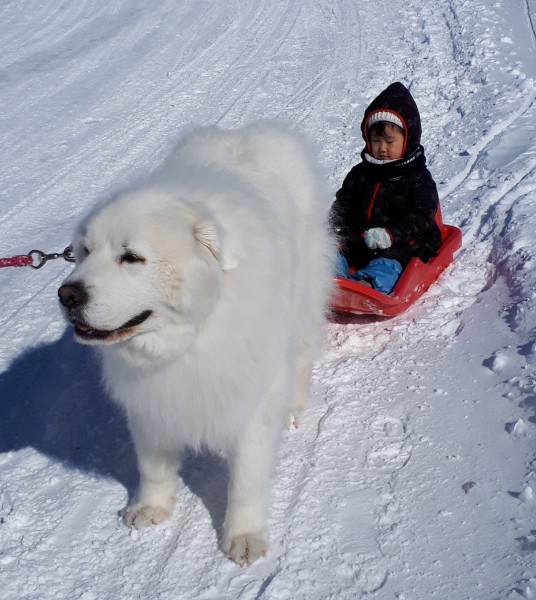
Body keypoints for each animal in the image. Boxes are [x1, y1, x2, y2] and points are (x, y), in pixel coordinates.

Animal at [58, 120, 336, 564]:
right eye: (85, 251)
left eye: (131, 257)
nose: (67, 295)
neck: (190, 337)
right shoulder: (152, 400)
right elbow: (152, 465)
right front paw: (151, 507)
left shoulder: (251, 397)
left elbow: (246, 478)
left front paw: (243, 535)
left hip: (305, 298)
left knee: (301, 355)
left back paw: (293, 408)